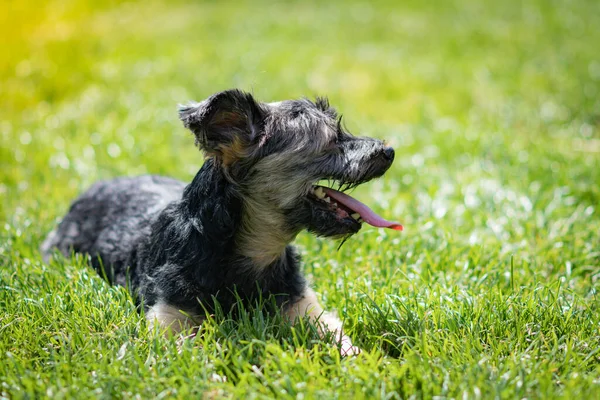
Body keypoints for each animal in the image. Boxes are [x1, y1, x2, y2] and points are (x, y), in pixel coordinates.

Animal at [41, 89, 404, 354]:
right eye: (332, 141)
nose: (389, 151)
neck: (252, 255)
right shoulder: (170, 320)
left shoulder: (304, 309)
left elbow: (340, 340)